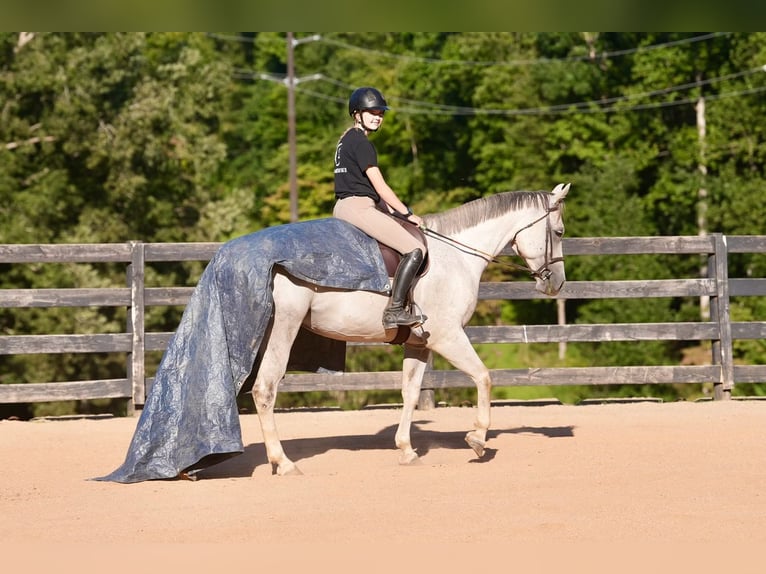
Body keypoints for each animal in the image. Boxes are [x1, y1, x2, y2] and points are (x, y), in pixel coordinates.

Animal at [253, 183, 570, 475]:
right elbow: (483, 376)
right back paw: (283, 462)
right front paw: (478, 438)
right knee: (265, 388)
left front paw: (406, 450)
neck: (456, 256)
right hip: (283, 329)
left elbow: (411, 392)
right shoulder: (448, 337)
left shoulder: (418, 344)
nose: (557, 283)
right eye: (559, 232)